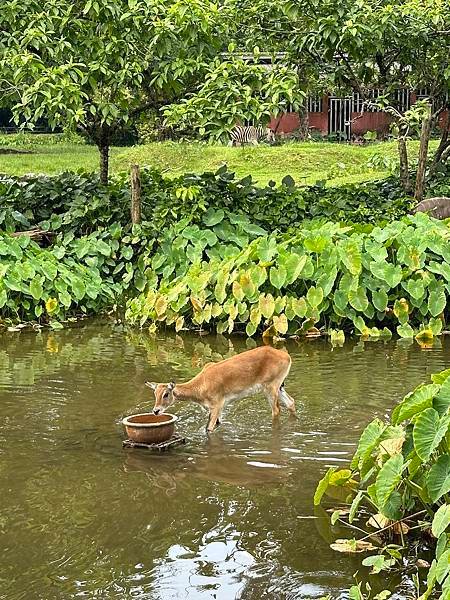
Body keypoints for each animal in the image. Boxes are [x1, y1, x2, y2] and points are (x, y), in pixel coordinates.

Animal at [146, 344, 298, 434]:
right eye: (155, 393)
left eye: (166, 394)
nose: (156, 411)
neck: (200, 387)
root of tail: (287, 357)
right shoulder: (215, 409)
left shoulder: (217, 405)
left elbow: (209, 429)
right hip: (279, 386)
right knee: (290, 402)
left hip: (270, 387)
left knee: (276, 410)